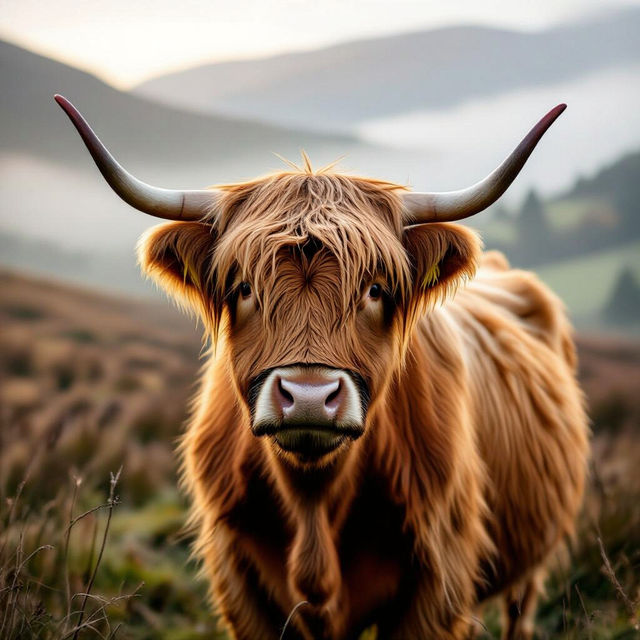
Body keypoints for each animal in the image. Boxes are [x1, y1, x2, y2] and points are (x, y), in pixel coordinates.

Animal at [55, 95, 589, 640]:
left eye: (375, 288)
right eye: (243, 287)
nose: (309, 397)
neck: (313, 502)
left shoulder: (438, 579)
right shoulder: (239, 580)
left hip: (532, 560)